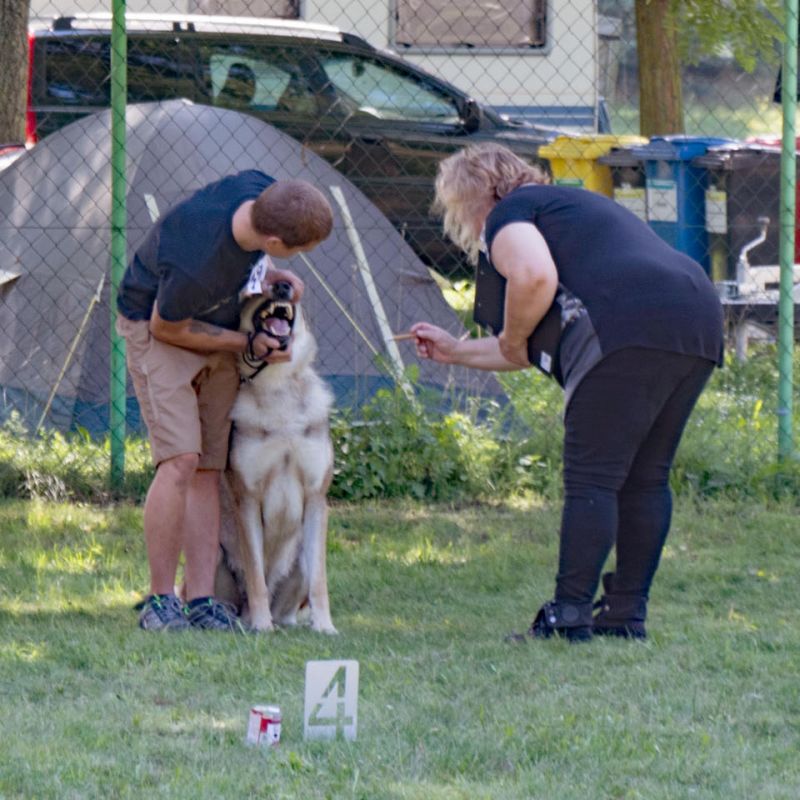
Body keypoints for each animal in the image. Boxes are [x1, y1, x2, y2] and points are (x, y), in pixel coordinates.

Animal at [214, 280, 336, 632]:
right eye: (257, 289)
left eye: (290, 287)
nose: (283, 286)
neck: (278, 386)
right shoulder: (248, 499)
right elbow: (256, 575)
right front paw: (261, 626)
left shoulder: (316, 498)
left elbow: (320, 582)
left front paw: (326, 627)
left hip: (300, 560)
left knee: (292, 606)